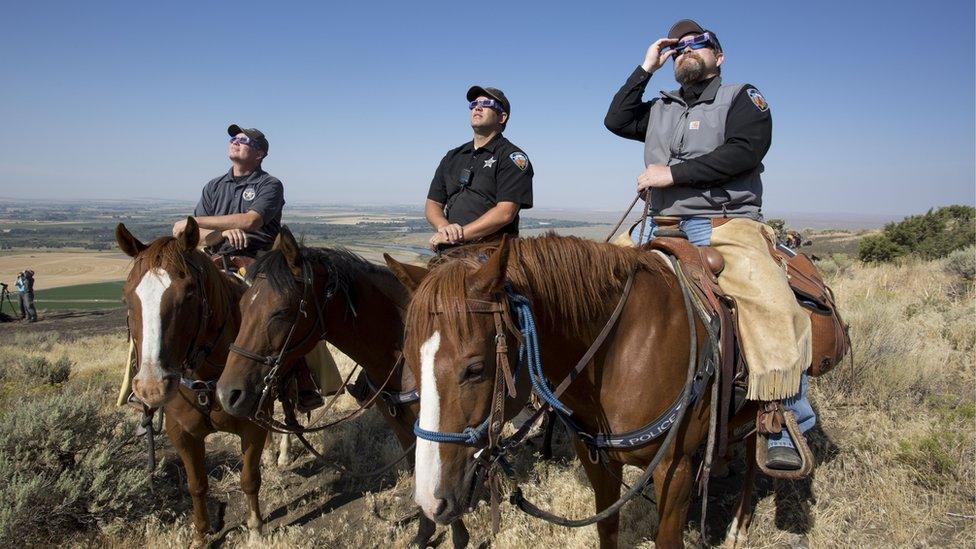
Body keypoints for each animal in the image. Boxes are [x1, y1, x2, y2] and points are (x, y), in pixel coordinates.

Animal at [117, 217, 270, 544]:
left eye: (188, 293)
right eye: (126, 296)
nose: (152, 386)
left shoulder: (253, 426)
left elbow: (249, 479)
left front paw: (255, 530)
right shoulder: (182, 434)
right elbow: (196, 484)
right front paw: (200, 535)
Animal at [386, 234, 760, 548]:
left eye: (475, 368)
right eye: (410, 361)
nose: (429, 501)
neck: (626, 347)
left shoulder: (675, 467)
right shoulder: (599, 462)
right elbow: (607, 530)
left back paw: (739, 526)